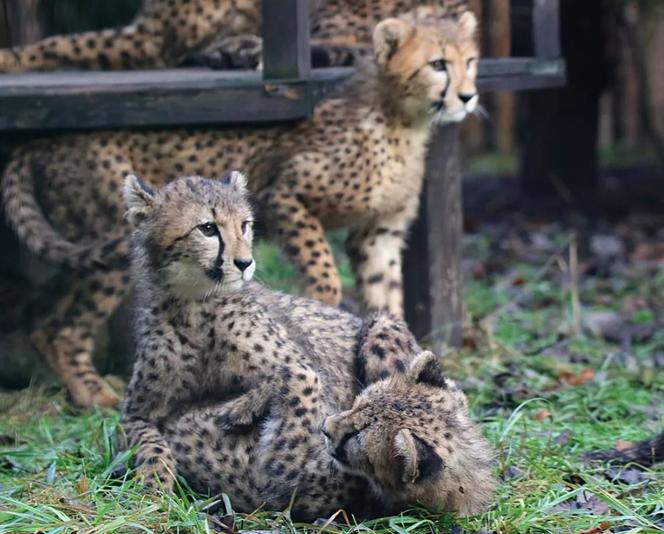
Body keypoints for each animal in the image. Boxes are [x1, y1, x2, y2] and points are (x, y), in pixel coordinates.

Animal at [0, 14, 478, 408]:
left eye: (470, 61)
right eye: (438, 64)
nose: (469, 96)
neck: (400, 119)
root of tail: (43, 137)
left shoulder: (378, 234)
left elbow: (386, 296)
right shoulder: (286, 197)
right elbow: (323, 273)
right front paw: (321, 316)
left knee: (44, 318)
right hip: (110, 243)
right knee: (63, 328)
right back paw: (94, 396)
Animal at [120, 175, 492, 520]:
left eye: (244, 225)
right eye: (208, 228)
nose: (244, 263)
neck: (194, 306)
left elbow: (299, 373)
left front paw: (240, 406)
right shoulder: (135, 414)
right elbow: (150, 444)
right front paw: (153, 488)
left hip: (381, 323)